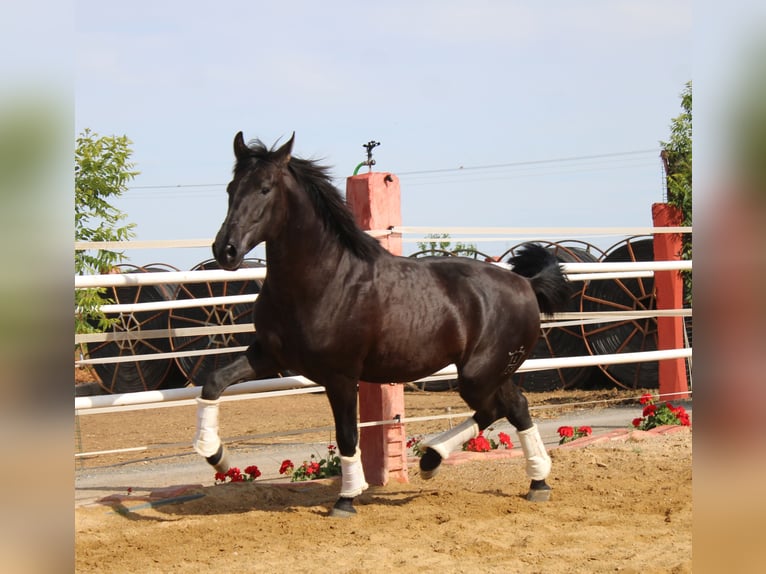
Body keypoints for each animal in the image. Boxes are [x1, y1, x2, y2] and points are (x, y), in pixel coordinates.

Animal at [193, 132, 571, 517]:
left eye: (265, 189)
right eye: (231, 188)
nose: (226, 250)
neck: (324, 281)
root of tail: (526, 284)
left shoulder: (341, 376)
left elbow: (347, 435)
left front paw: (346, 499)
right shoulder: (270, 356)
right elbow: (213, 383)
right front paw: (216, 456)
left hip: (479, 374)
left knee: (499, 407)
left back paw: (443, 461)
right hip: (492, 373)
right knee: (514, 406)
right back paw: (525, 479)